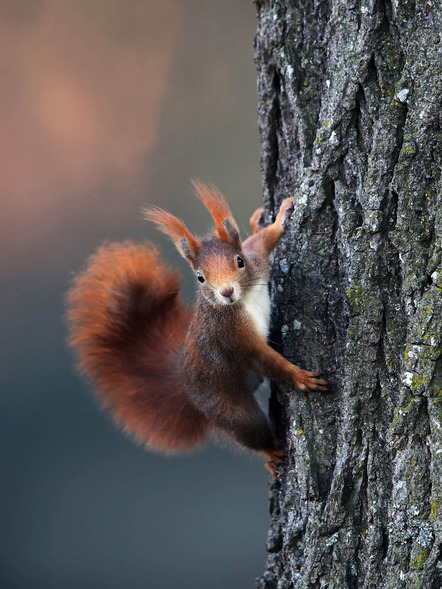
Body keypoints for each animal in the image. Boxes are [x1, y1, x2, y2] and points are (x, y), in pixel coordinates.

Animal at [67, 183, 326, 478]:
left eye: (239, 261)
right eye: (200, 277)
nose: (227, 291)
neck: (243, 299)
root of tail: (188, 389)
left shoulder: (257, 260)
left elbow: (263, 239)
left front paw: (282, 215)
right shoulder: (230, 335)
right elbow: (262, 360)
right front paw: (300, 377)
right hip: (230, 410)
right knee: (251, 432)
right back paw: (271, 452)